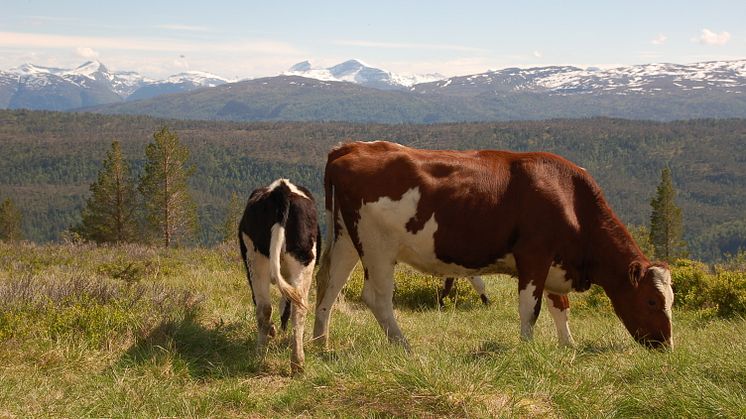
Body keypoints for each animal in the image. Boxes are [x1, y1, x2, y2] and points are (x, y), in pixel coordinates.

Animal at [238, 180, 320, 374]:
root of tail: (282, 189)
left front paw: (274, 330)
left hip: (256, 259)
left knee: (266, 307)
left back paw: (262, 352)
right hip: (301, 258)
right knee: (295, 307)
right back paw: (296, 362)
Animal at [310, 141, 672, 352]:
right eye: (652, 301)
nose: (667, 346)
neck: (570, 198)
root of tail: (351, 146)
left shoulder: (554, 261)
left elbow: (560, 306)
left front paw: (567, 344)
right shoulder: (534, 255)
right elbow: (531, 308)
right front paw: (527, 348)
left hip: (346, 239)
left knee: (329, 285)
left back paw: (320, 343)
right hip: (377, 246)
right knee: (377, 298)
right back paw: (404, 346)